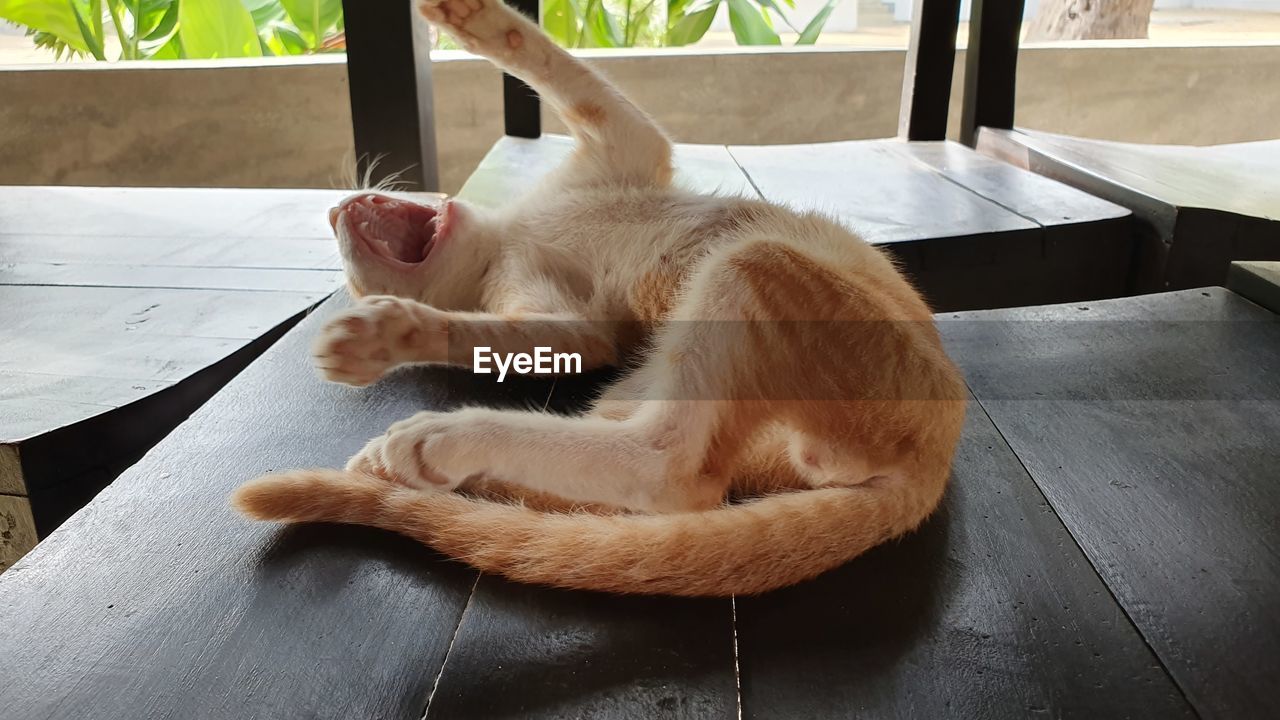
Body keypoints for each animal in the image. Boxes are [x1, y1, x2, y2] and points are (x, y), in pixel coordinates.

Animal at [235, 0, 962, 594]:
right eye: (353, 281)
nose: (332, 211)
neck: (510, 232)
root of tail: (938, 459)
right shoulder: (573, 324)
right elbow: (489, 330)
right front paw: (388, 334)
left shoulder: (623, 144)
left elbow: (565, 73)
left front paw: (470, 18)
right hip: (730, 290)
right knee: (673, 476)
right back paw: (432, 450)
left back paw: (413, 458)